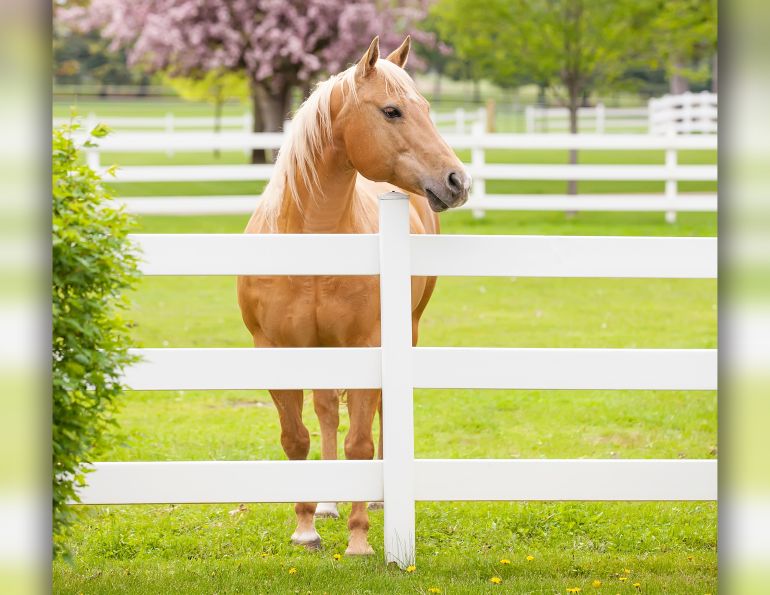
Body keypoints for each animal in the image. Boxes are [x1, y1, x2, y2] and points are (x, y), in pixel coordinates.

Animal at [236, 35, 471, 556]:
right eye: (392, 111)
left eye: (426, 108)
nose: (457, 181)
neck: (313, 239)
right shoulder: (276, 349)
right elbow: (296, 438)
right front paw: (305, 528)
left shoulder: (369, 343)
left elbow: (360, 443)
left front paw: (360, 540)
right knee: (326, 410)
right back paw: (326, 503)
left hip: (406, 330)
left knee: (379, 413)